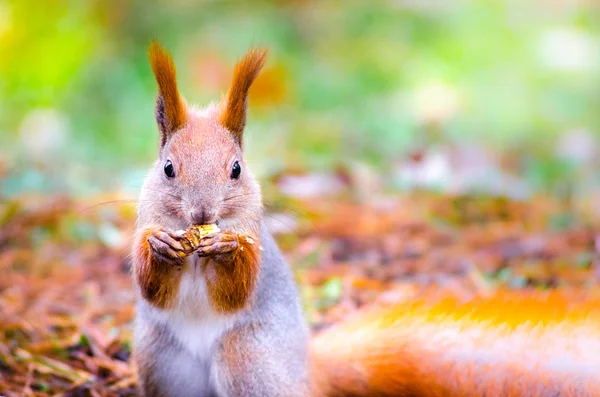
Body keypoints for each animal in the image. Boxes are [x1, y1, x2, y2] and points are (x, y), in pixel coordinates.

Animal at [131, 41, 600, 396]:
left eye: (236, 169)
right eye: (168, 168)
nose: (203, 213)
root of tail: (307, 371)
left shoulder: (252, 236)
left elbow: (238, 288)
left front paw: (227, 248)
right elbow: (151, 285)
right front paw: (161, 246)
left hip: (248, 359)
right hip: (163, 362)